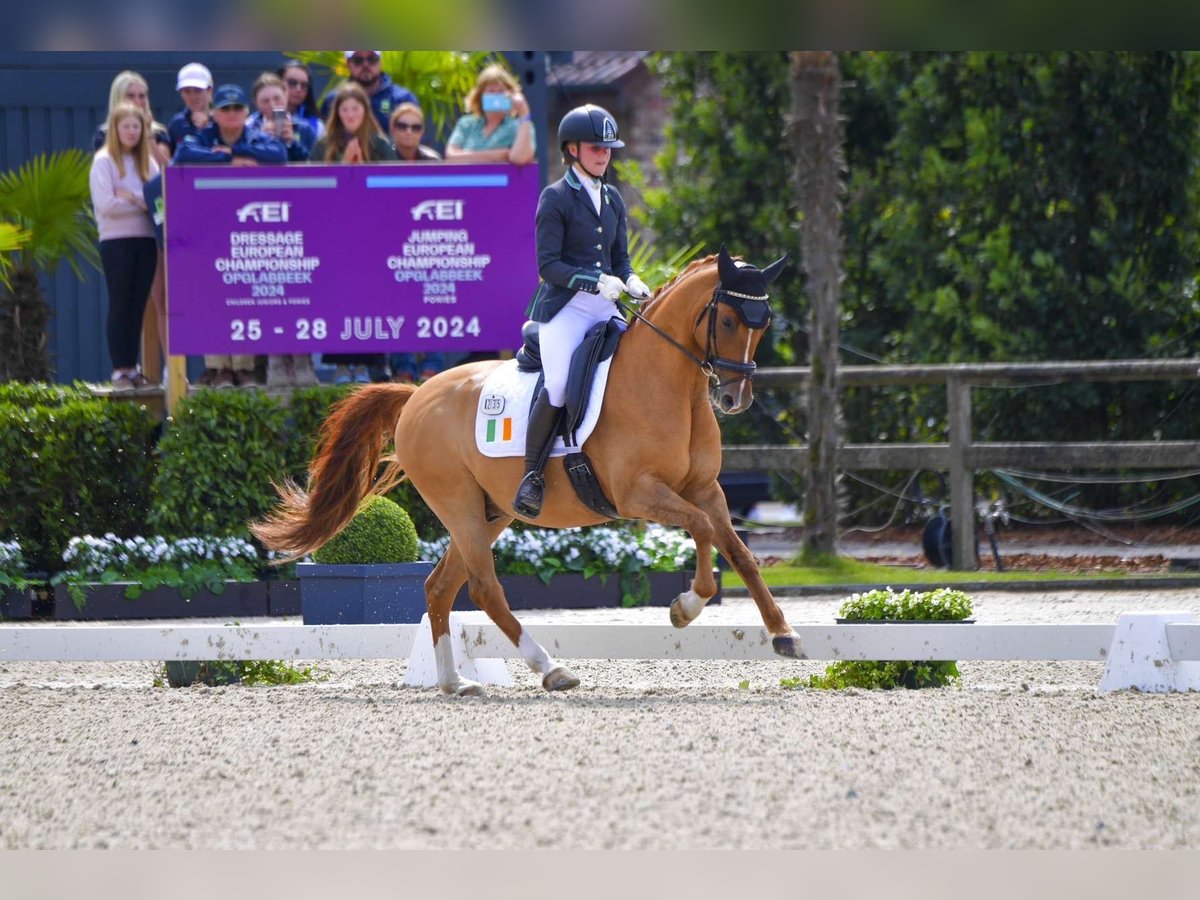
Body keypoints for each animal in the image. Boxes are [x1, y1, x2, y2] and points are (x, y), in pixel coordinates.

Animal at [249, 247, 801, 696]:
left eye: (765, 322)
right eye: (726, 320)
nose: (734, 399)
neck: (671, 386)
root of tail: (417, 394)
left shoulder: (705, 490)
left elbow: (740, 553)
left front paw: (783, 634)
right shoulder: (638, 493)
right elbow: (703, 530)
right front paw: (687, 606)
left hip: (490, 513)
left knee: (440, 587)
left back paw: (454, 682)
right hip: (460, 507)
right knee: (483, 588)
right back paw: (550, 670)